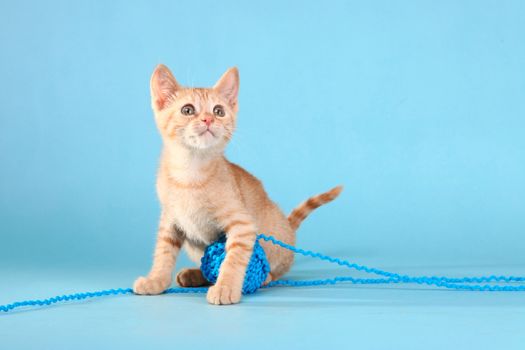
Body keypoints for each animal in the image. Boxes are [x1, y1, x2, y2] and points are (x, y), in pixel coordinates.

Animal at [133, 65, 342, 304]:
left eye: (218, 111)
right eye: (187, 110)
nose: (208, 120)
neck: (190, 172)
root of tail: (288, 227)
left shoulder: (242, 225)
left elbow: (233, 258)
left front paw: (225, 287)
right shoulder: (170, 221)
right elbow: (163, 253)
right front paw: (155, 280)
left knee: (277, 270)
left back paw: (263, 277)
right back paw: (195, 275)